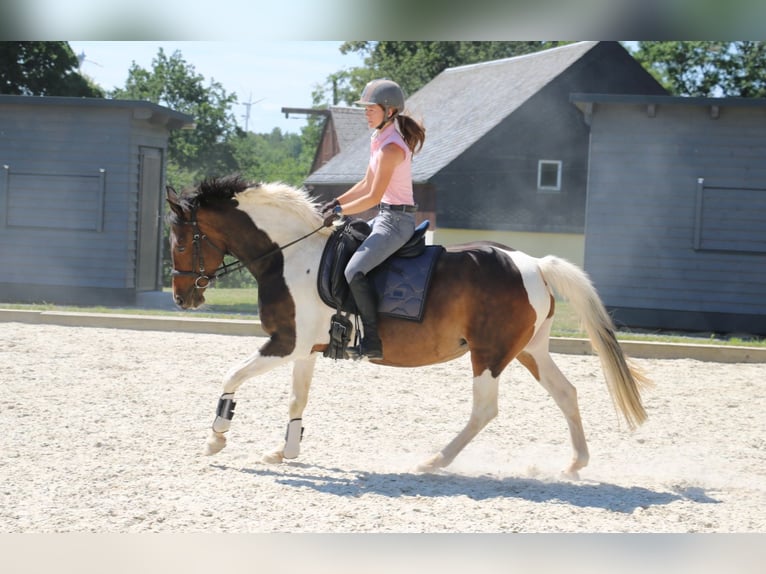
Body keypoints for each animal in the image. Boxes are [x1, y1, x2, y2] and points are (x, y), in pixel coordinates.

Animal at [165, 174, 652, 478]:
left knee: (485, 410)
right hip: (530, 350)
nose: (181, 298)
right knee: (567, 393)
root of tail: (532, 262)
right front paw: (285, 451)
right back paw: (575, 464)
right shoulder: (305, 348)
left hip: (490, 354)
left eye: (180, 241)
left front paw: (216, 438)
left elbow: (232, 376)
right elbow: (296, 399)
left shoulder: (285, 342)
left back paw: (434, 461)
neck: (289, 253)